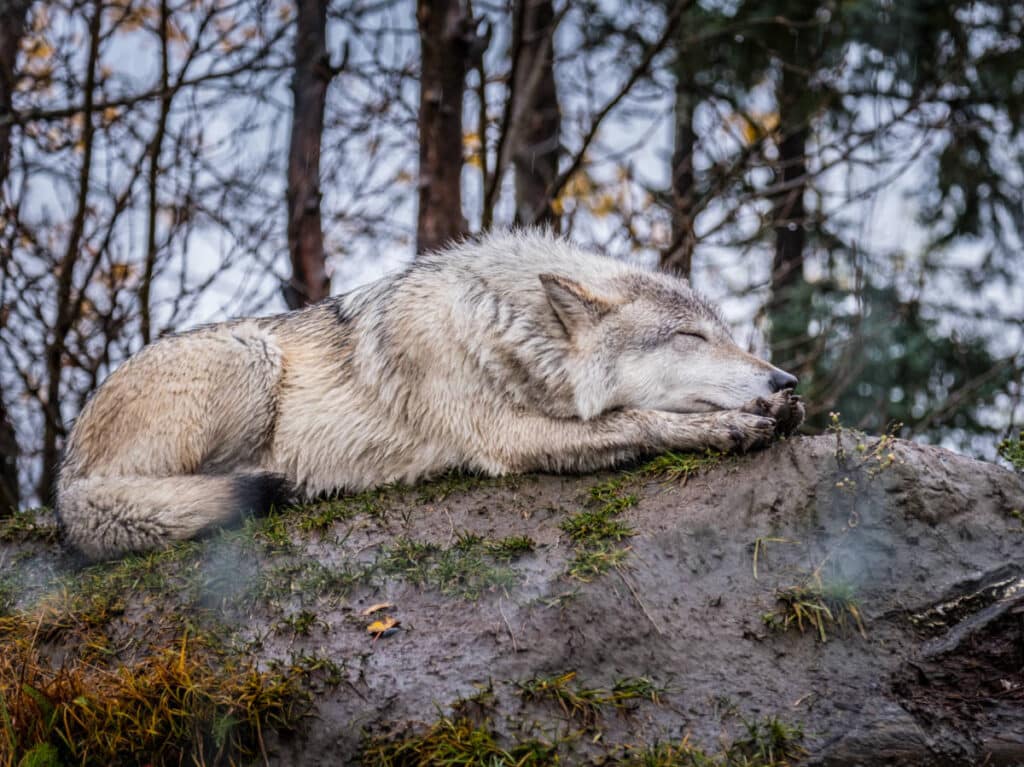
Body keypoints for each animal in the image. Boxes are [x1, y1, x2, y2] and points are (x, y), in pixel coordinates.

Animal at [57, 230, 804, 560]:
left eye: (728, 335)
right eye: (690, 337)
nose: (784, 379)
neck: (502, 322)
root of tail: (65, 486)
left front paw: (772, 409)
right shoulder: (507, 438)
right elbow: (638, 420)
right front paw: (734, 426)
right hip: (249, 355)